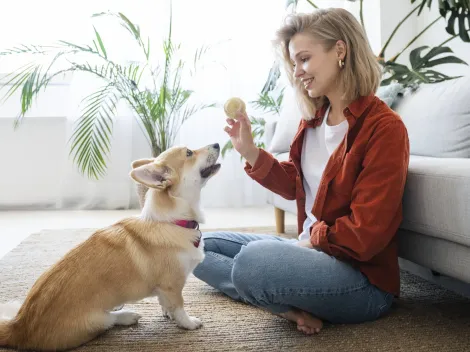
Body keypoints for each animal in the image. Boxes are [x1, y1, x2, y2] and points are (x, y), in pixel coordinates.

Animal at [0, 142, 222, 350]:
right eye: (189, 153)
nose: (218, 144)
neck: (173, 221)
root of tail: (18, 327)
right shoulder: (172, 285)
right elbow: (179, 307)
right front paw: (188, 323)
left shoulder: (164, 289)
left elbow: (166, 304)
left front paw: (168, 313)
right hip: (96, 320)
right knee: (110, 320)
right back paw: (126, 315)